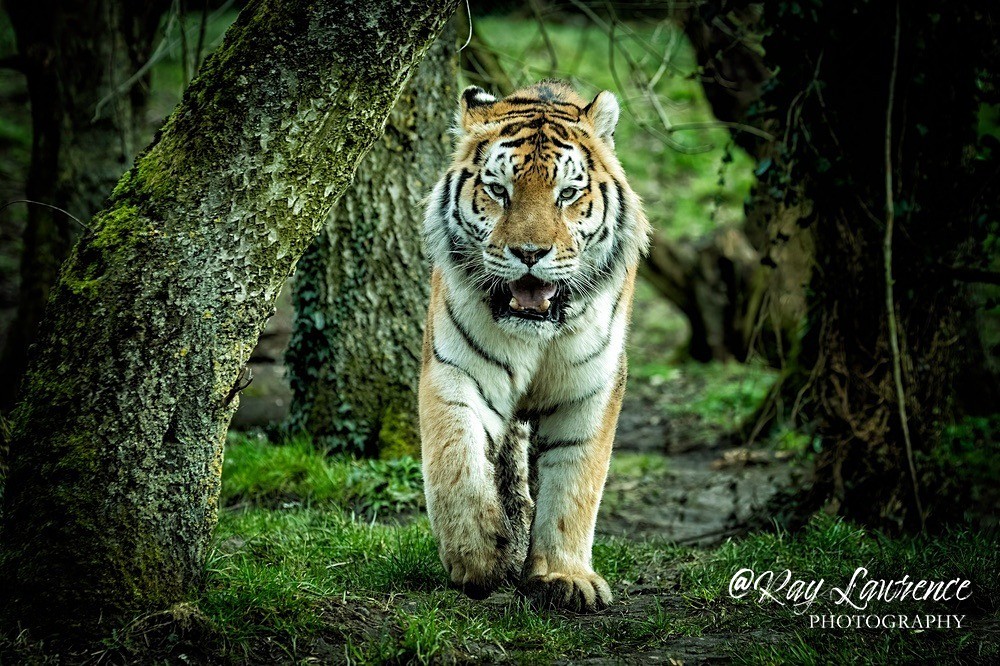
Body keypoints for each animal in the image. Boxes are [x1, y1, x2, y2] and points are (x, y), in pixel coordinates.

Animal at [419, 80, 650, 613]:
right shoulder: (455, 369)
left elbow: (575, 484)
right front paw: (479, 556)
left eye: (567, 193)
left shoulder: (592, 388)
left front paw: (564, 577)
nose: (530, 254)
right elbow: (455, 458)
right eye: (498, 190)